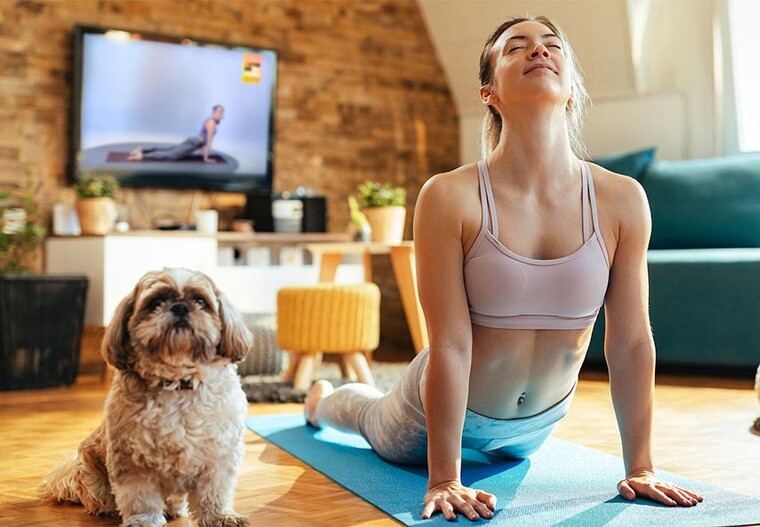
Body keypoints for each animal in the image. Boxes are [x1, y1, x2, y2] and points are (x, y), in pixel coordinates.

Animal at [40, 270, 252, 524]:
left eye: (201, 301)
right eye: (155, 302)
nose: (180, 307)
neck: (178, 382)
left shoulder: (219, 457)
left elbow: (215, 492)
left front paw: (220, 516)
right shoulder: (132, 460)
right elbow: (141, 497)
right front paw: (144, 520)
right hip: (93, 475)